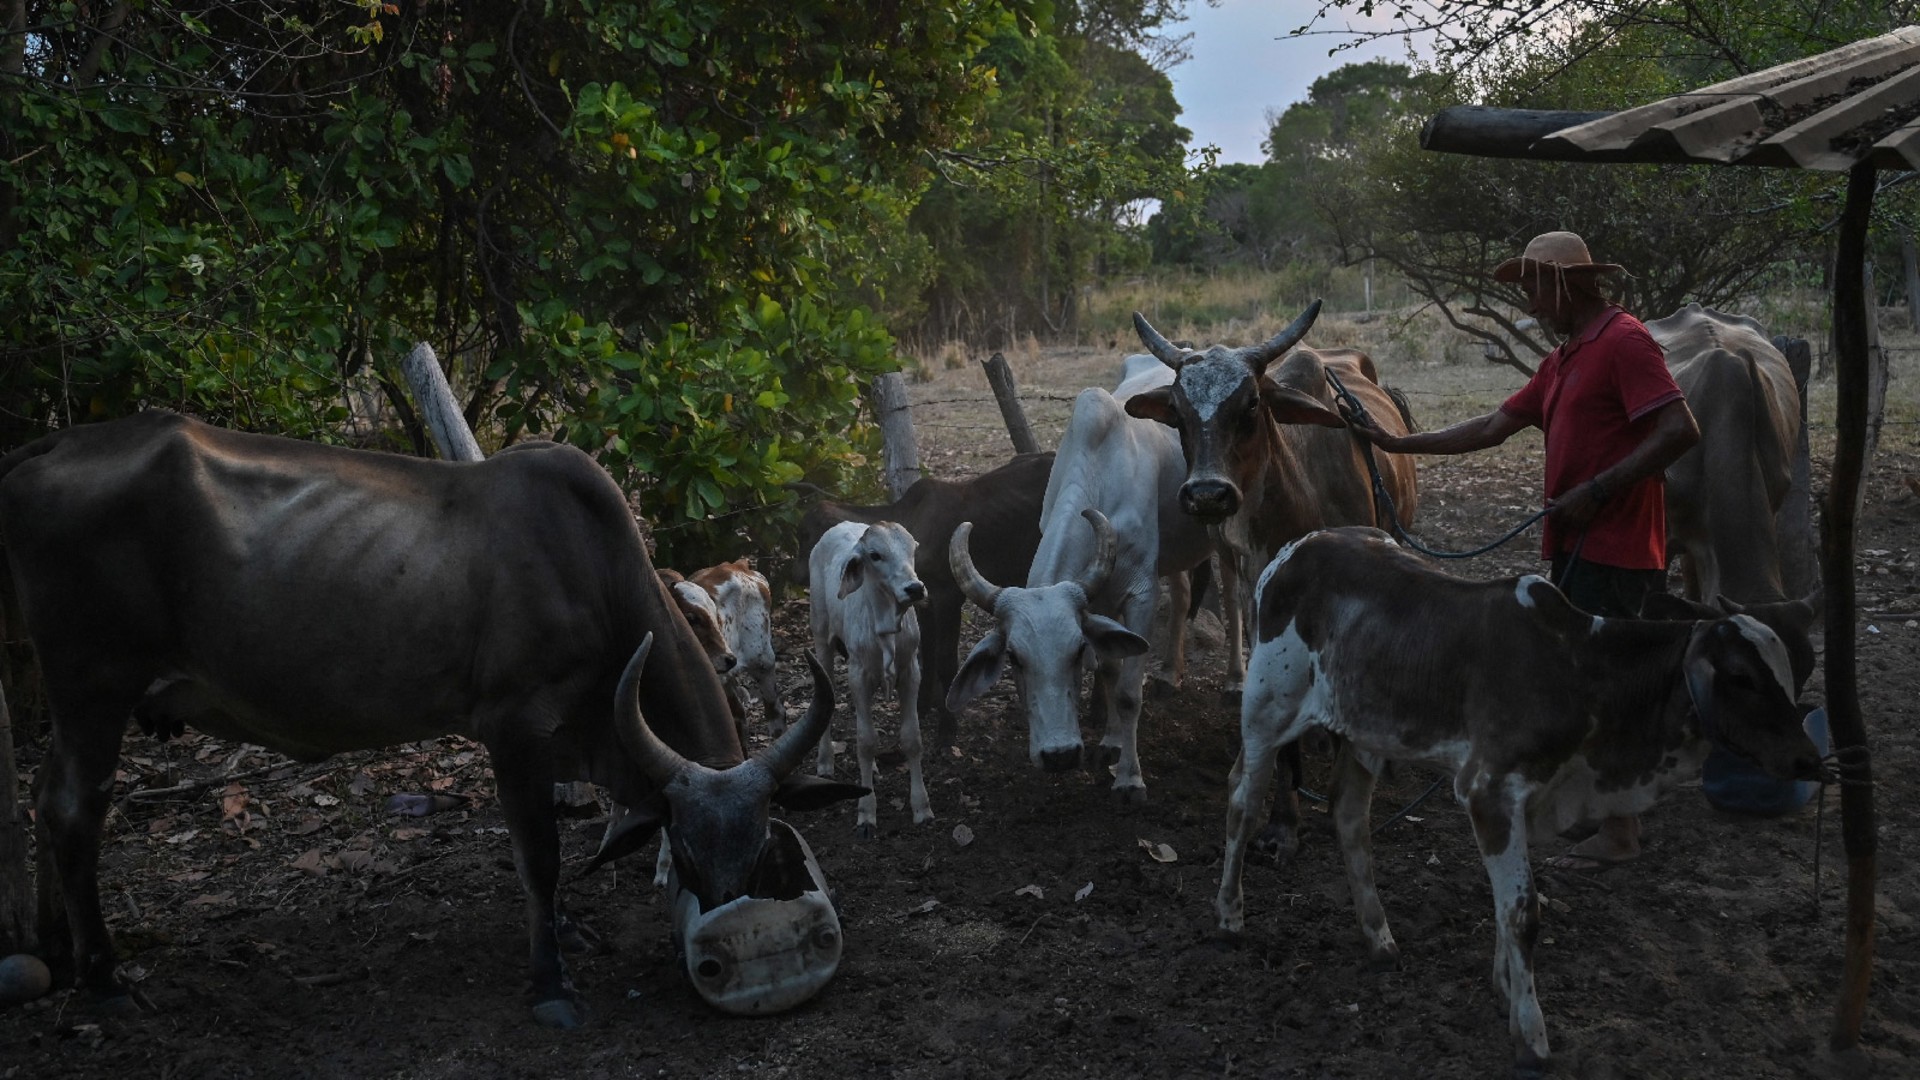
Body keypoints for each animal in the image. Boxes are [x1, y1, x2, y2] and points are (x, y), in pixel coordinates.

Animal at [0, 411, 864, 1028]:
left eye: (762, 845)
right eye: (682, 848)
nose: (730, 932)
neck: (592, 570)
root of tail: (45, 448)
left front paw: (568, 933)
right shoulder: (514, 726)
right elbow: (539, 856)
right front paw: (551, 983)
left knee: (44, 802)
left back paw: (59, 953)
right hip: (91, 687)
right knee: (72, 810)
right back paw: (104, 980)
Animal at [792, 451, 1054, 745]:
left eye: (806, 536)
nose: (796, 574)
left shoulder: (949, 596)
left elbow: (946, 660)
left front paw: (947, 728)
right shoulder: (924, 601)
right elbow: (927, 654)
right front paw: (922, 708)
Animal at [808, 520, 932, 837]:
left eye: (912, 548)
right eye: (875, 555)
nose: (915, 588)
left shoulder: (911, 673)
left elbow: (912, 738)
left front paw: (921, 807)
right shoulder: (859, 676)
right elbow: (865, 741)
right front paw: (866, 812)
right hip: (821, 637)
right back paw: (825, 761)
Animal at [945, 359, 1219, 802]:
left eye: (1076, 651)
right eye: (1014, 658)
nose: (1059, 755)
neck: (1100, 473)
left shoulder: (1140, 594)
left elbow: (1127, 692)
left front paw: (1129, 778)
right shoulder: (1100, 601)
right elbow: (1109, 671)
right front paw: (1109, 744)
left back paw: (1238, 681)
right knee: (1181, 595)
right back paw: (1169, 675)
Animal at [1216, 527, 1824, 1078]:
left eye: (1794, 673)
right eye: (1741, 676)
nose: (1807, 759)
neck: (1583, 673)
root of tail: (1296, 548)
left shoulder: (1527, 801)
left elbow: (1505, 909)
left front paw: (1506, 992)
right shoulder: (1488, 792)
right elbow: (1522, 913)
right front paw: (1532, 1037)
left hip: (1366, 732)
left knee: (1348, 817)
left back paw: (1379, 938)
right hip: (1266, 711)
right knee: (1242, 801)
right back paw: (1229, 917)